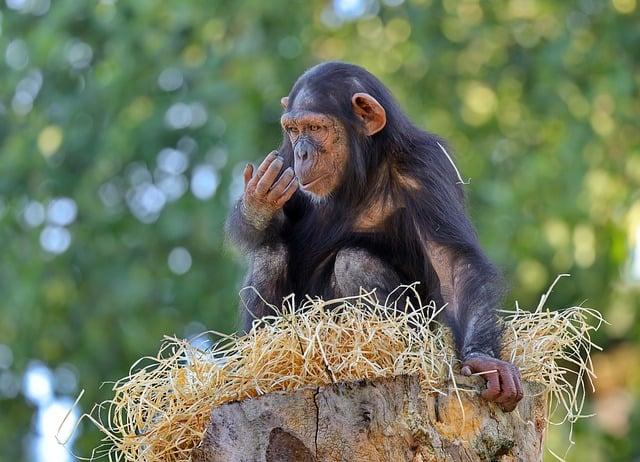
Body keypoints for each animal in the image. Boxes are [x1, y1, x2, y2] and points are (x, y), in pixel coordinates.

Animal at [228, 61, 524, 412]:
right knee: (269, 254)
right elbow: (271, 230)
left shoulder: (426, 167)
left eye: (316, 127)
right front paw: (258, 203)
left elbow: (452, 262)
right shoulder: (282, 157)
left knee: (354, 261)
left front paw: (483, 361)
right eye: (294, 129)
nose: (302, 153)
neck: (364, 168)